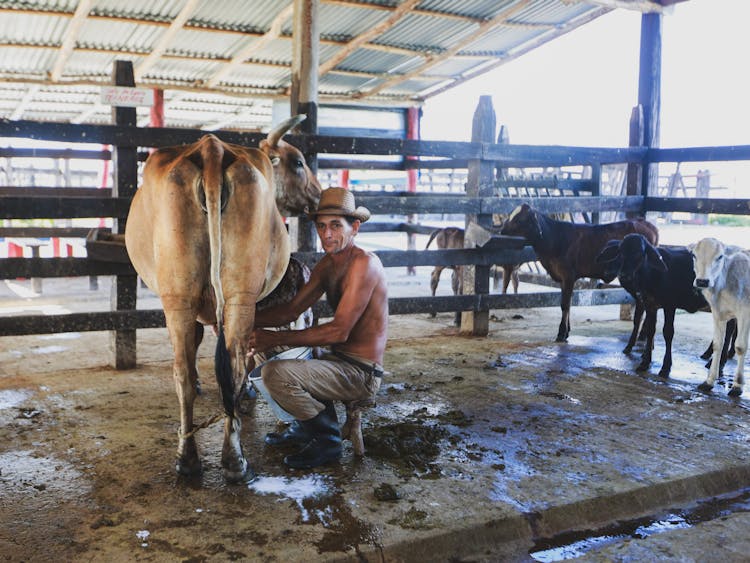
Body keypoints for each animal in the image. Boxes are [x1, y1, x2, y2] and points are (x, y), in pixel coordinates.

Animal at [126, 114, 320, 480]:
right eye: (299, 162)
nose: (318, 195)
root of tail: (212, 148)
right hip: (228, 296)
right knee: (218, 365)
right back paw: (219, 457)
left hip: (186, 297)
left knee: (192, 370)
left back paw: (205, 457)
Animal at [506, 204, 656, 342]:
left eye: (520, 219)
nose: (502, 229)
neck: (556, 238)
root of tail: (645, 223)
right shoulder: (564, 279)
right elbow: (569, 303)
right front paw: (567, 331)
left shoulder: (568, 276)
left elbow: (565, 304)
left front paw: (561, 333)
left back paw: (643, 335)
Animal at [692, 238, 750, 396]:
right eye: (694, 255)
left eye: (720, 257)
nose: (702, 281)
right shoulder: (718, 313)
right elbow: (718, 344)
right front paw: (709, 381)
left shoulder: (745, 312)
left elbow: (740, 346)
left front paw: (737, 386)